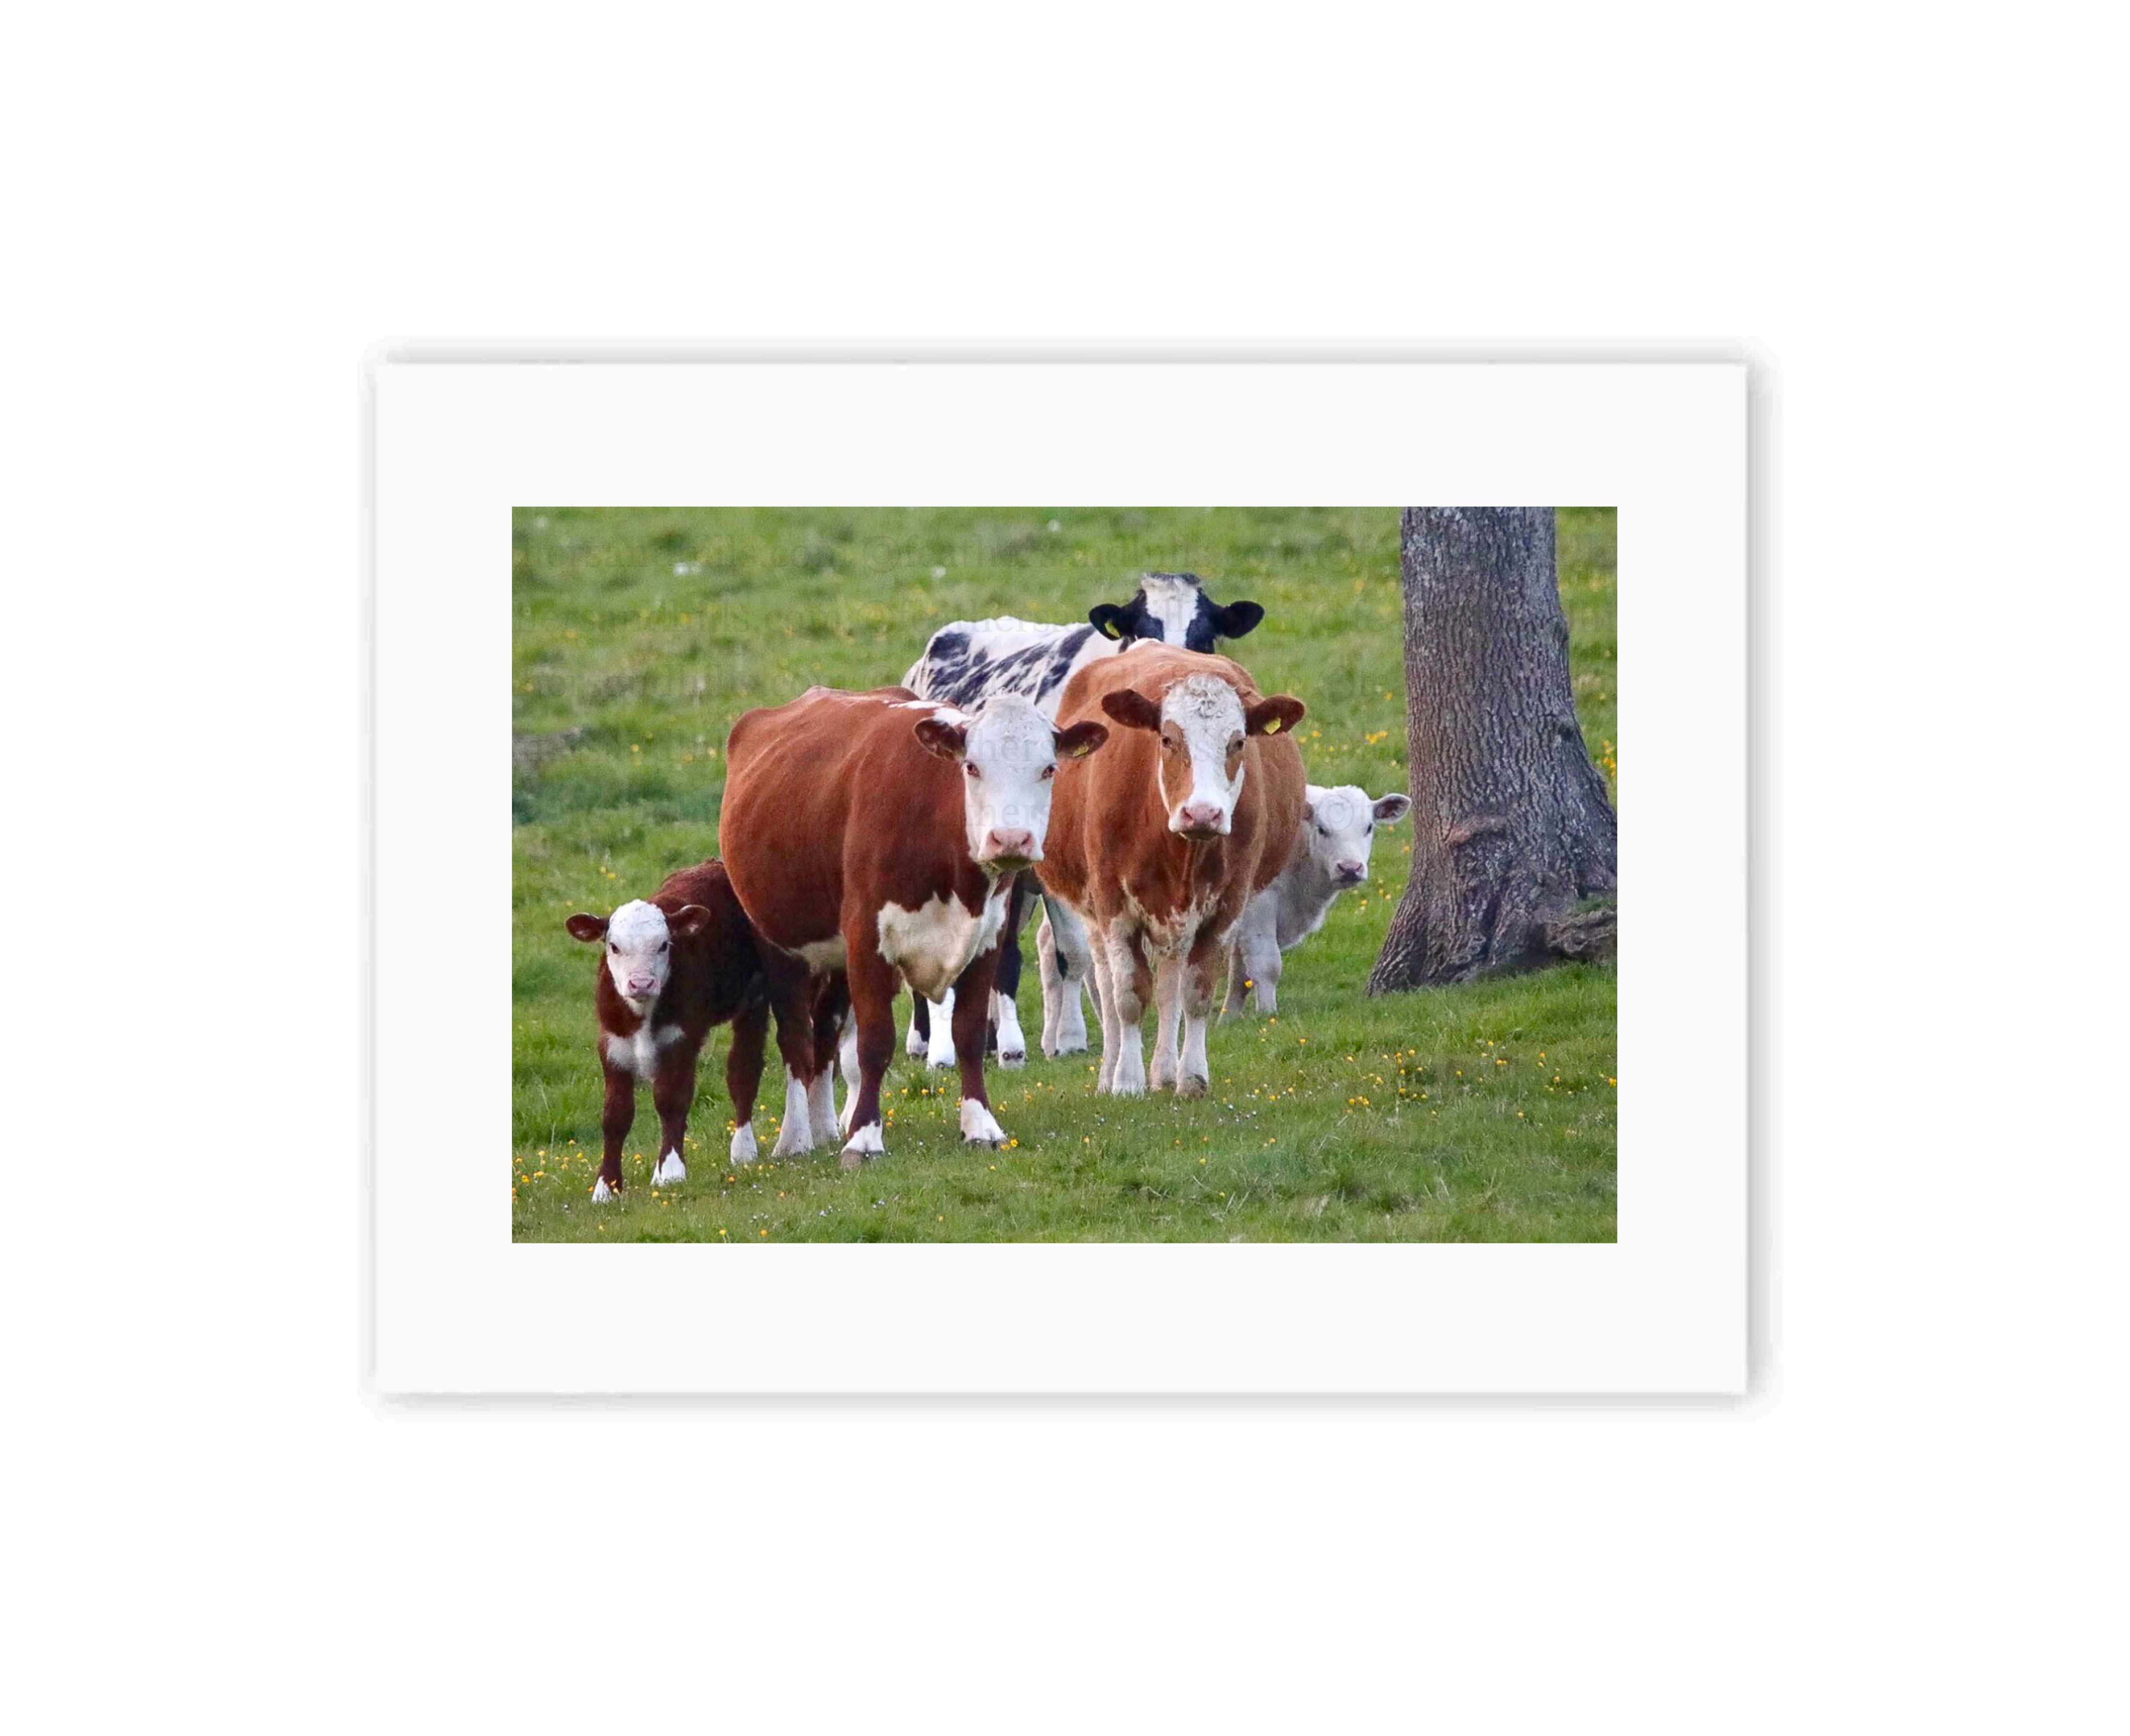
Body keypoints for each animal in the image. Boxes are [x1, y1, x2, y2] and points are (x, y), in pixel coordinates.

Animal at [564, 858, 834, 1201]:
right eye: (614, 947)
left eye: (664, 945)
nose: (641, 983)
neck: (644, 1014)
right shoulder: (612, 1044)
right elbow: (616, 1115)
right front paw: (606, 1188)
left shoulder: (682, 1038)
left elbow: (672, 1099)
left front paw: (670, 1172)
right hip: (752, 1001)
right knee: (744, 1069)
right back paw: (744, 1150)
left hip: (788, 979)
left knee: (795, 1047)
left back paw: (793, 1141)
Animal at [719, 686, 1108, 1165]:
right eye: (971, 767)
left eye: (1048, 768)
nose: (1011, 839)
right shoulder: (867, 942)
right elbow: (874, 1042)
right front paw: (865, 1139)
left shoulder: (987, 940)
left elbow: (968, 1033)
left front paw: (980, 1125)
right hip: (781, 944)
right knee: (796, 1039)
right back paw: (795, 1137)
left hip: (835, 957)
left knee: (825, 1033)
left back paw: (825, 1126)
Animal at [898, 571, 1266, 1070]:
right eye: (1139, 629)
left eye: (1204, 637)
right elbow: (1043, 951)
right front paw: (1044, 1040)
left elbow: (1081, 954)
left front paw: (1070, 1036)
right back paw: (929, 1040)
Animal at [1035, 647, 1307, 1097]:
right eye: (1167, 738)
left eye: (1237, 742)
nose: (1203, 813)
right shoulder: (1113, 906)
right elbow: (1128, 996)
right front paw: (1127, 1080)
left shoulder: (1225, 908)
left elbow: (1195, 993)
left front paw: (1192, 1077)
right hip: (1091, 910)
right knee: (1106, 986)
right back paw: (1110, 1073)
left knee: (1169, 987)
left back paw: (1163, 1071)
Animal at [1220, 785, 1412, 1015]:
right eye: (1322, 830)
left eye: (1369, 827)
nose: (1350, 868)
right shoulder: (1258, 905)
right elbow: (1266, 965)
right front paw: (1268, 1015)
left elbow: (1240, 977)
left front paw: (1229, 1018)